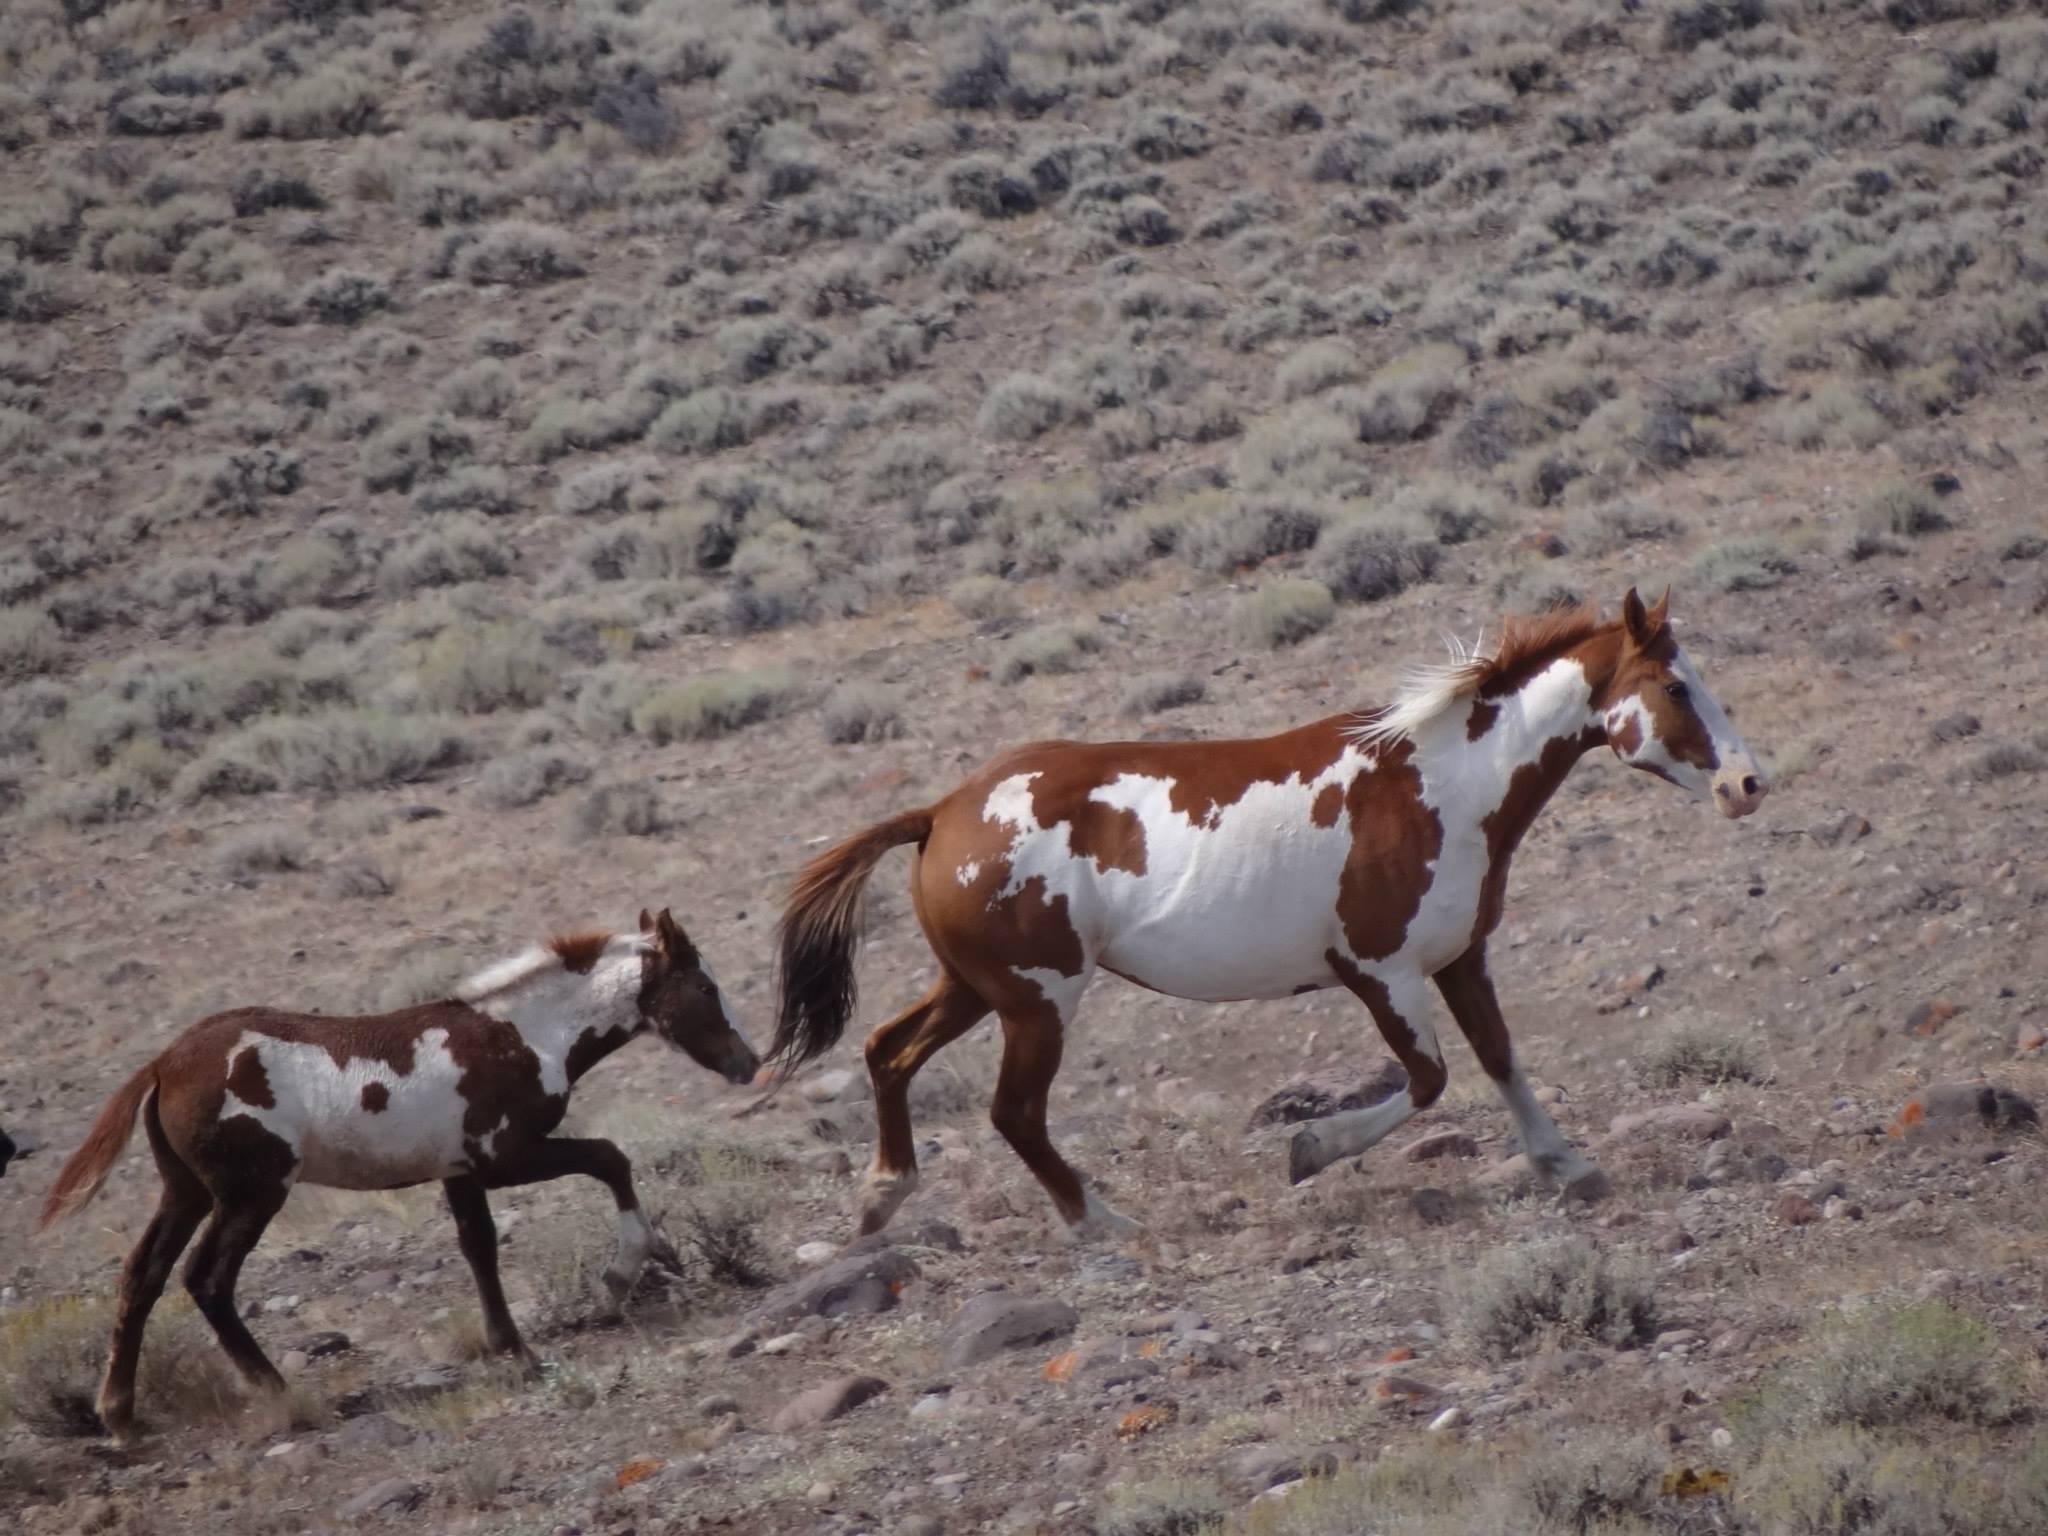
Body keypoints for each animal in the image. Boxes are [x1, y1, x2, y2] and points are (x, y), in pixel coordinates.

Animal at [37, 901, 761, 1441]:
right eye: (705, 986)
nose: (748, 1062)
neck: (523, 1034)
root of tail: (163, 1064)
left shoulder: (459, 1170)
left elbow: (479, 1248)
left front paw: (513, 1349)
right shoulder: (505, 1158)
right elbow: (611, 1157)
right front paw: (620, 1273)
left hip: (186, 1192)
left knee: (143, 1276)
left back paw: (119, 1416)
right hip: (251, 1193)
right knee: (206, 1279)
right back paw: (279, 1391)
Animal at [774, 589, 1769, 1236]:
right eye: (1676, 687)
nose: (1748, 784)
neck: (1439, 787)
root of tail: (940, 812)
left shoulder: (1458, 957)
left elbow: (1500, 1059)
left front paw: (1569, 1165)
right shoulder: (1378, 972)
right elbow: (1428, 1079)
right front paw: (1312, 1149)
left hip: (978, 988)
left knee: (887, 1051)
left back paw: (882, 1198)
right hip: (1036, 1002)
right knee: (1014, 1113)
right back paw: (1105, 1226)